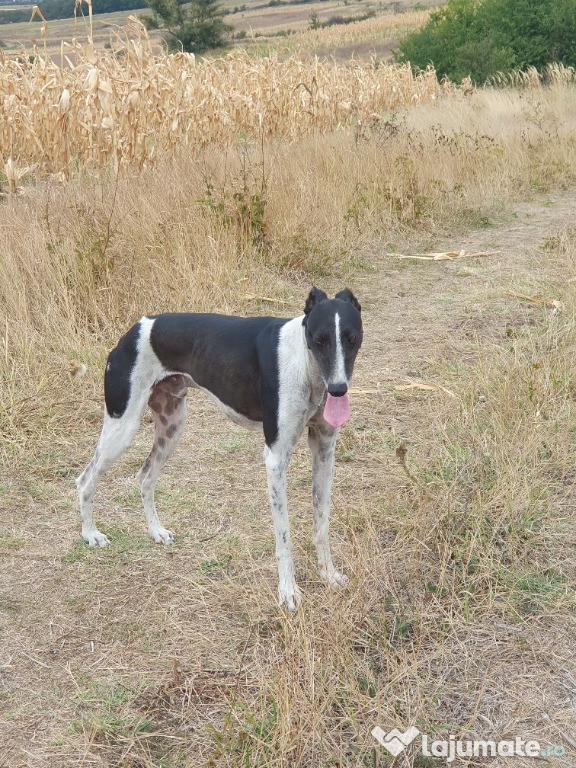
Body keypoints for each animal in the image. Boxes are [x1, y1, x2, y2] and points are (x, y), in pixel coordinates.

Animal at [76, 284, 362, 608]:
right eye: (319, 339)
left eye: (351, 338)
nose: (338, 389)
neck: (305, 364)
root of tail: (133, 330)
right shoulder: (276, 459)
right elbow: (283, 535)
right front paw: (288, 591)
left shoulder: (324, 449)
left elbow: (321, 521)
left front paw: (328, 575)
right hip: (121, 429)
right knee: (85, 480)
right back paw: (91, 534)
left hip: (171, 426)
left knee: (145, 476)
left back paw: (156, 531)